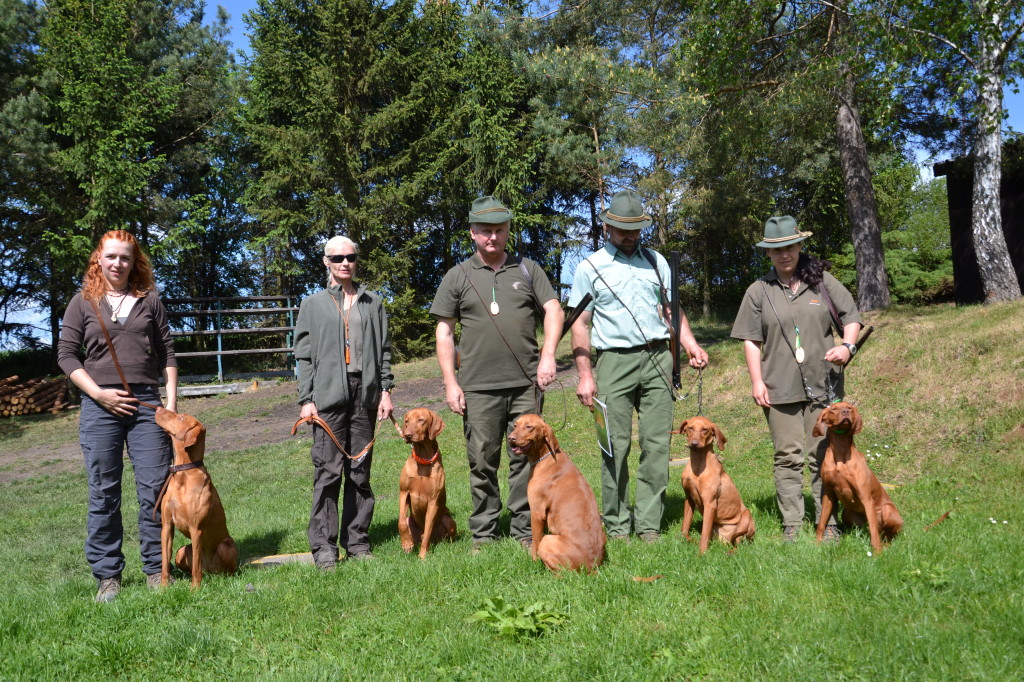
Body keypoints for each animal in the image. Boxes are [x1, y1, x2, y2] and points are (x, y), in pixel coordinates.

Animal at [152, 405, 236, 585]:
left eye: (181, 417)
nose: (159, 407)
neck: (183, 474)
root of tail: (211, 572)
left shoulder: (196, 528)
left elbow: (196, 568)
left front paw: (195, 588)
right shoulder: (167, 526)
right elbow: (164, 563)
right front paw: (163, 587)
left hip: (225, 546)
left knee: (223, 569)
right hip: (182, 551)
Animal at [395, 405, 456, 557]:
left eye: (421, 420)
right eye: (406, 421)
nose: (407, 435)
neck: (423, 460)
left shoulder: (433, 502)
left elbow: (428, 530)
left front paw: (422, 556)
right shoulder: (404, 492)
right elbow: (401, 522)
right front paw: (406, 544)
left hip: (448, 519)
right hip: (410, 520)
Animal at [507, 411, 602, 569]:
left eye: (529, 427)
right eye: (515, 425)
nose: (510, 438)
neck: (545, 458)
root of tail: (591, 566)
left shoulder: (537, 512)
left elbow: (535, 542)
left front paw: (533, 561)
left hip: (548, 540)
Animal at [675, 413, 757, 552]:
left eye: (705, 429)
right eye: (690, 428)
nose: (694, 444)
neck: (698, 464)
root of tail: (725, 539)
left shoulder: (710, 503)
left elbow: (704, 534)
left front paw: (701, 553)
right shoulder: (689, 498)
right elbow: (685, 527)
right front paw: (683, 540)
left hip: (746, 516)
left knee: (739, 544)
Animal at [811, 399, 901, 552]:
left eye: (849, 407)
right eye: (833, 409)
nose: (846, 412)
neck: (840, 453)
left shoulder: (866, 498)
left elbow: (873, 533)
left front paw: (876, 552)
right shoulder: (828, 494)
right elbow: (822, 522)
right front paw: (817, 544)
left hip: (887, 511)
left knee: (887, 535)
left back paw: (885, 546)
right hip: (847, 514)